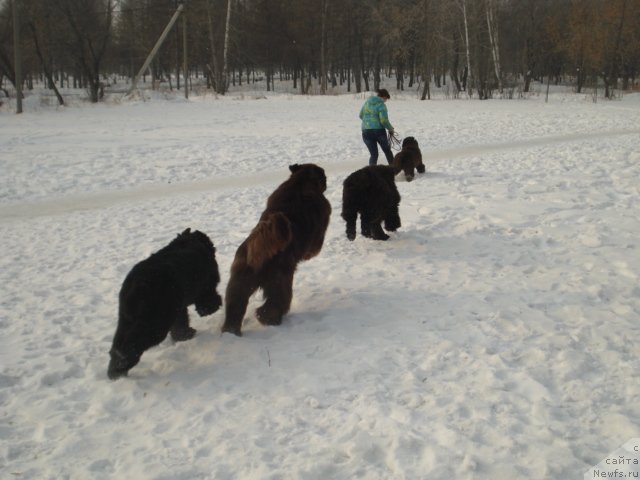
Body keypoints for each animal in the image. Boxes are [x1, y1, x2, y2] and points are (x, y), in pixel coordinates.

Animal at [108, 227, 222, 380]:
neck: (190, 241)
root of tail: (135, 286)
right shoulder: (206, 287)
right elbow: (208, 301)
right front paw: (211, 308)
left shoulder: (178, 307)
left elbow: (180, 324)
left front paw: (184, 336)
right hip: (156, 322)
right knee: (132, 343)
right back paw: (122, 365)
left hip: (127, 319)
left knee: (118, 343)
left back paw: (114, 371)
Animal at [221, 163, 330, 336]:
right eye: (323, 176)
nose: (327, 181)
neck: (300, 182)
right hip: (281, 281)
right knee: (274, 304)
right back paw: (269, 319)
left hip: (239, 284)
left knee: (235, 308)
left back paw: (231, 331)